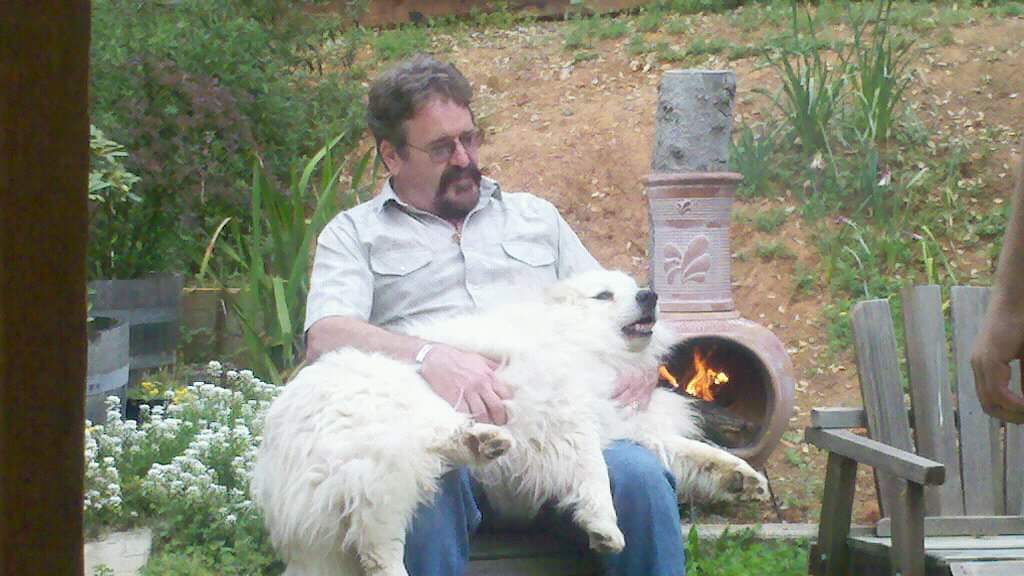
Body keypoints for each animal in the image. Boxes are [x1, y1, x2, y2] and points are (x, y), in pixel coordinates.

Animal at [253, 268, 770, 573]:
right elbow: (593, 472)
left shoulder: (619, 422)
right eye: (604, 295)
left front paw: (743, 477)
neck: (577, 340)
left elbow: (694, 452)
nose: (650, 295)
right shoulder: (565, 416)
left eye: (634, 285)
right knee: (378, 545)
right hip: (389, 455)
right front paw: (603, 525)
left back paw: (484, 442)